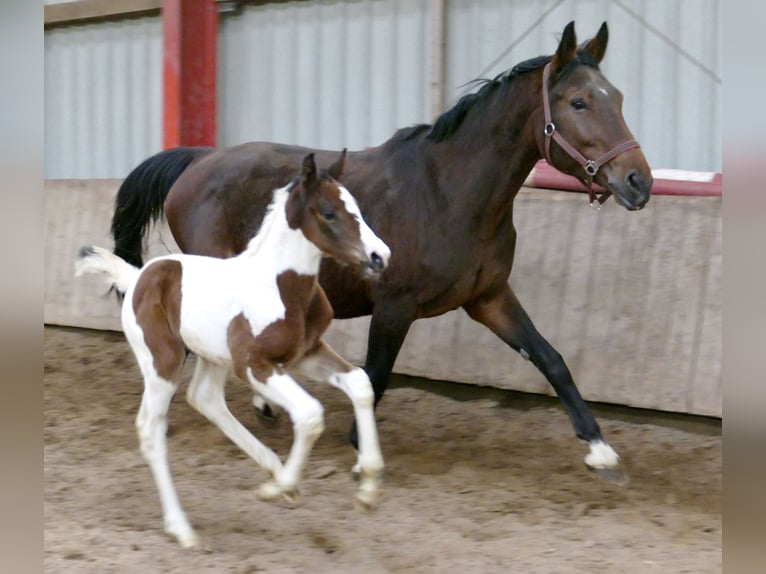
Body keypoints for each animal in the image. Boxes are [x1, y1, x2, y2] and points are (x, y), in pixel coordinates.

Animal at [76, 152, 390, 548]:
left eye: (358, 208)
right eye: (329, 212)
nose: (380, 256)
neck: (281, 286)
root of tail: (136, 277)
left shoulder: (306, 354)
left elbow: (360, 384)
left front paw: (368, 488)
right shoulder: (253, 365)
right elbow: (310, 414)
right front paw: (276, 489)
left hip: (213, 357)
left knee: (205, 398)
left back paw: (273, 469)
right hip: (163, 363)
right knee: (151, 429)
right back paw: (183, 528)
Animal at [110, 21, 653, 484]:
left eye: (619, 98)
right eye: (579, 102)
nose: (638, 182)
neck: (448, 192)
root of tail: (197, 160)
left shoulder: (489, 298)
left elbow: (550, 358)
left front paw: (601, 450)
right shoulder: (395, 305)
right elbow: (376, 376)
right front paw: (359, 447)